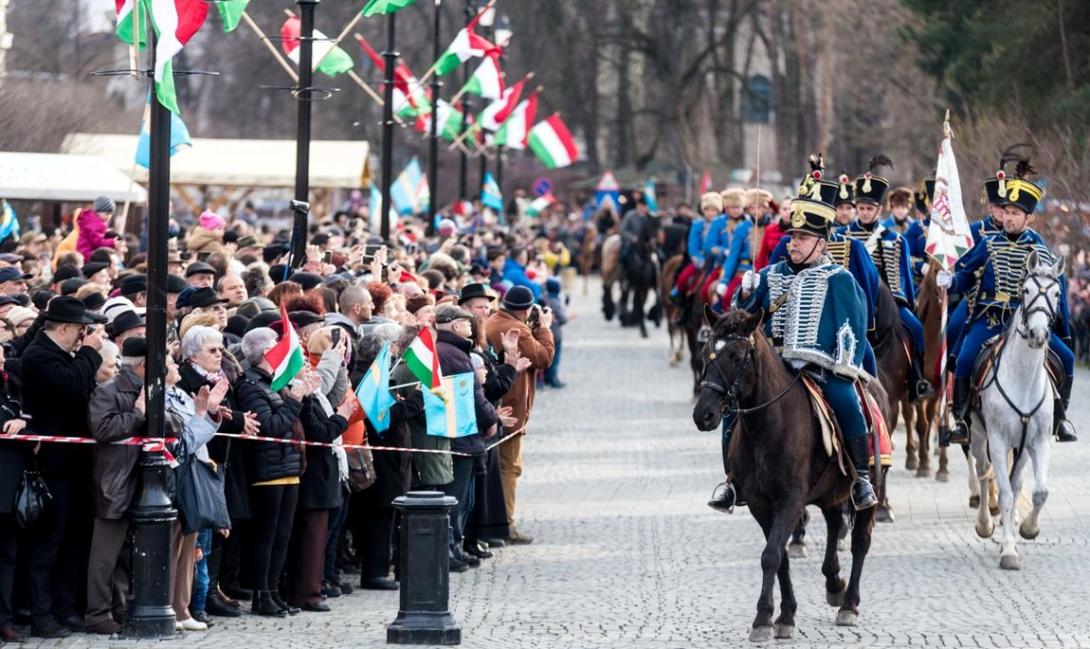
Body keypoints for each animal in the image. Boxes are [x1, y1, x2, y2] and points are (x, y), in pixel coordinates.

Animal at [697, 307, 876, 641]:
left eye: (736, 356)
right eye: (706, 353)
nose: (703, 414)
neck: (767, 427)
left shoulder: (790, 500)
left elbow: (771, 555)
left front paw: (763, 619)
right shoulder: (760, 504)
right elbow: (777, 556)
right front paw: (785, 615)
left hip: (873, 487)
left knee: (860, 539)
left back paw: (849, 604)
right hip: (830, 491)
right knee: (835, 523)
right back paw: (834, 583)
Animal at [967, 250, 1059, 571]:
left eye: (1057, 294)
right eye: (1027, 290)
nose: (1038, 334)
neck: (1023, 379)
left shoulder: (1038, 441)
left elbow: (1039, 491)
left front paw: (1028, 529)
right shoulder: (997, 440)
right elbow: (1005, 493)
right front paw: (1008, 549)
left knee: (1017, 482)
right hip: (979, 436)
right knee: (983, 472)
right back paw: (984, 523)